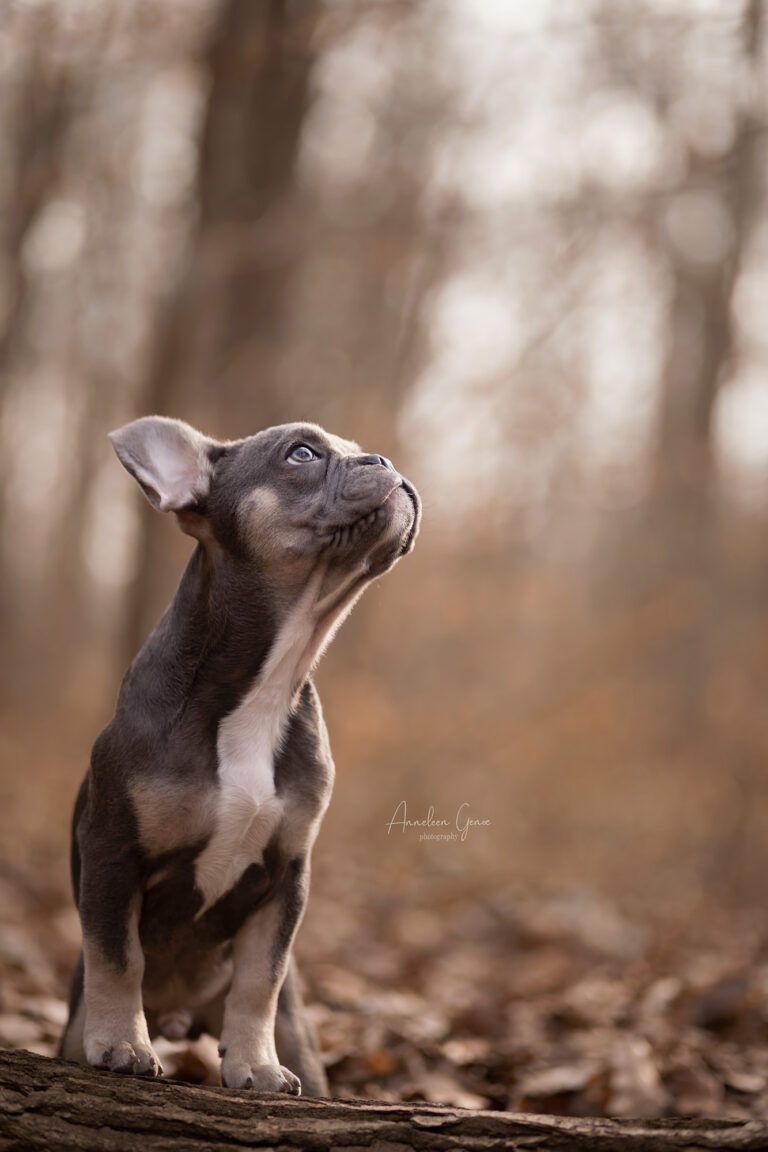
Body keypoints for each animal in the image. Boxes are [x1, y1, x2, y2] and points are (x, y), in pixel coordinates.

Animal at [58, 416, 420, 1095]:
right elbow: (119, 957)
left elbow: (261, 979)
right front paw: (122, 1042)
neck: (268, 683)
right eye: (301, 454)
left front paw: (256, 1063)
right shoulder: (113, 850)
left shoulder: (286, 876)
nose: (384, 460)